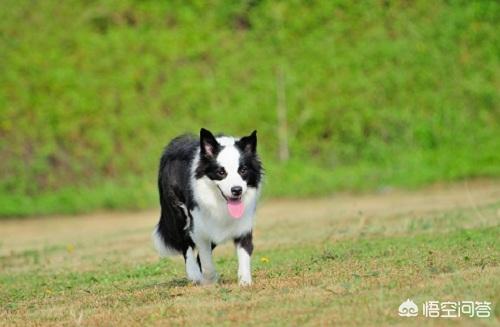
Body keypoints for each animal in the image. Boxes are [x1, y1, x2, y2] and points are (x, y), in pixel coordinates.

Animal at [152, 127, 264, 286]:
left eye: (243, 170)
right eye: (221, 172)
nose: (237, 190)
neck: (220, 203)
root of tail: (172, 145)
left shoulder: (243, 224)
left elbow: (244, 252)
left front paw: (245, 281)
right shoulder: (199, 226)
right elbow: (205, 258)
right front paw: (209, 279)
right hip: (178, 213)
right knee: (186, 244)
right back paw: (194, 274)